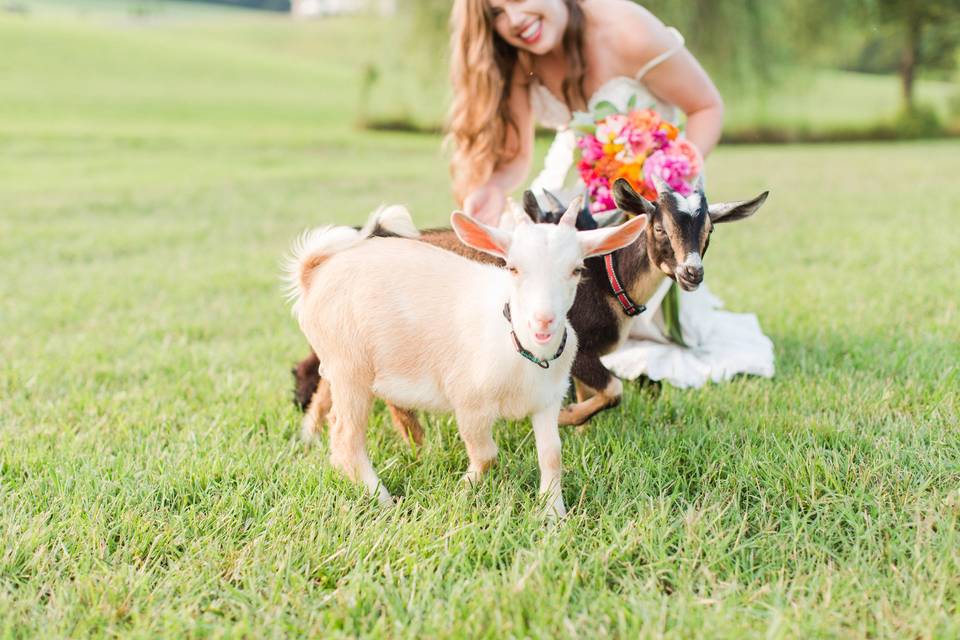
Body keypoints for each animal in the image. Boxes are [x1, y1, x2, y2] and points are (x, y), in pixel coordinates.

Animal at [284, 200, 644, 516]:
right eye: (512, 267)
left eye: (577, 270)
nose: (543, 321)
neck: (521, 351)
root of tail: (314, 273)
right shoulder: (470, 404)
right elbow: (487, 454)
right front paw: (462, 490)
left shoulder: (546, 402)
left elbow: (552, 455)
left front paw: (554, 513)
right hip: (350, 367)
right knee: (346, 438)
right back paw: (384, 500)